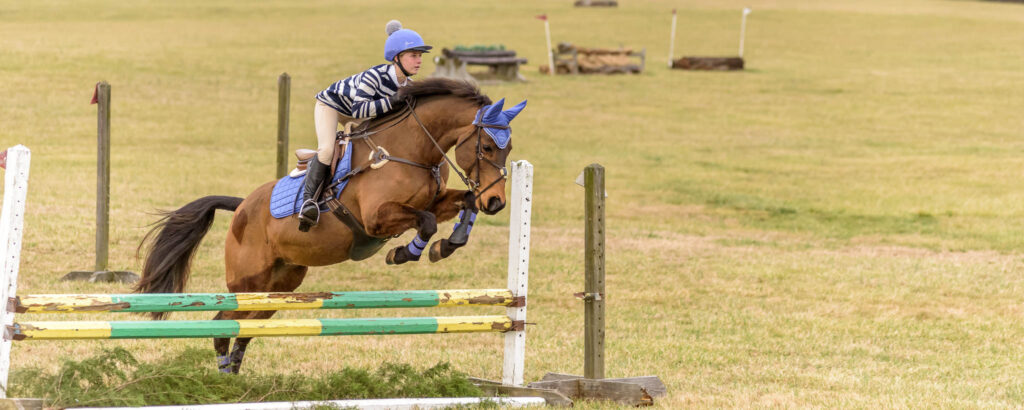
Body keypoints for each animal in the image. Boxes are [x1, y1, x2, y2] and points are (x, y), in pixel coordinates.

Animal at [134, 78, 528, 373]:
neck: (412, 151)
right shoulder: (377, 217)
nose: (498, 202)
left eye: (509, 150)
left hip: (279, 287)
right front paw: (404, 252)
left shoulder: (436, 199)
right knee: (222, 324)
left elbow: (463, 204)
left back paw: (233, 379)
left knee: (245, 329)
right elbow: (427, 222)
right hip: (248, 283)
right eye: (487, 147)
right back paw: (223, 382)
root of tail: (242, 206)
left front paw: (447, 245)